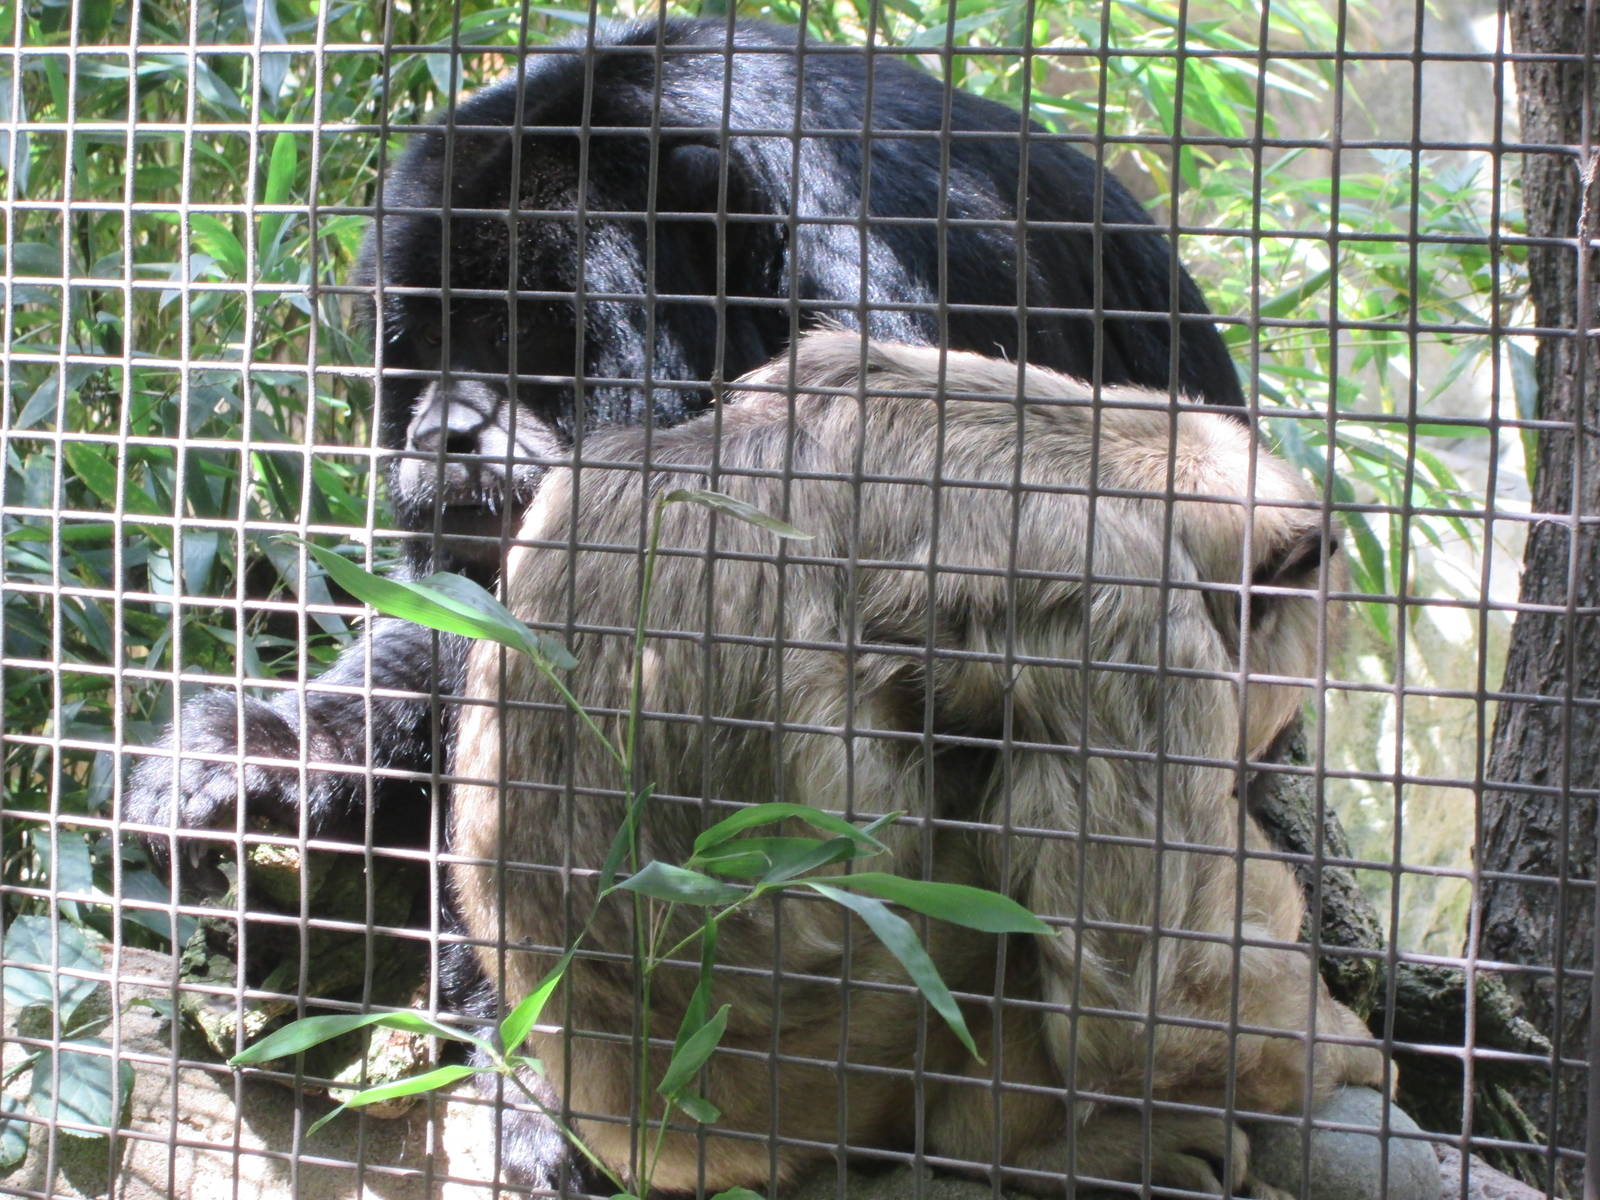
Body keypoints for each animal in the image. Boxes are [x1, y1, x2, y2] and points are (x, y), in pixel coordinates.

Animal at [450, 333, 1384, 1196]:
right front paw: (1342, 1049)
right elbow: (1155, 1019)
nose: (1271, 760)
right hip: (830, 1060)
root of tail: (631, 1118)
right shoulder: (1124, 603)